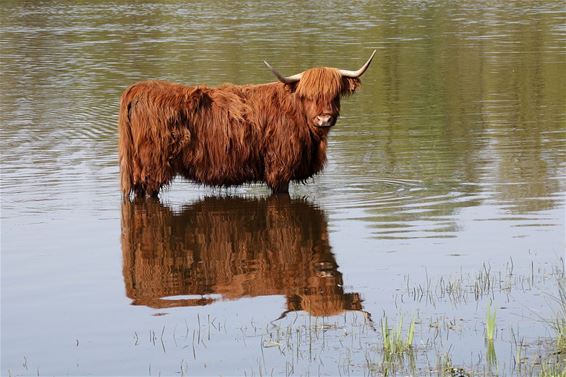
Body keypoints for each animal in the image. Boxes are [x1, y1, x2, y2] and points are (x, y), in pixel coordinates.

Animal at [118, 50, 378, 197]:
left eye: (335, 94)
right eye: (307, 95)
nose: (324, 118)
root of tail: (137, 89)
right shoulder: (280, 170)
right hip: (153, 166)